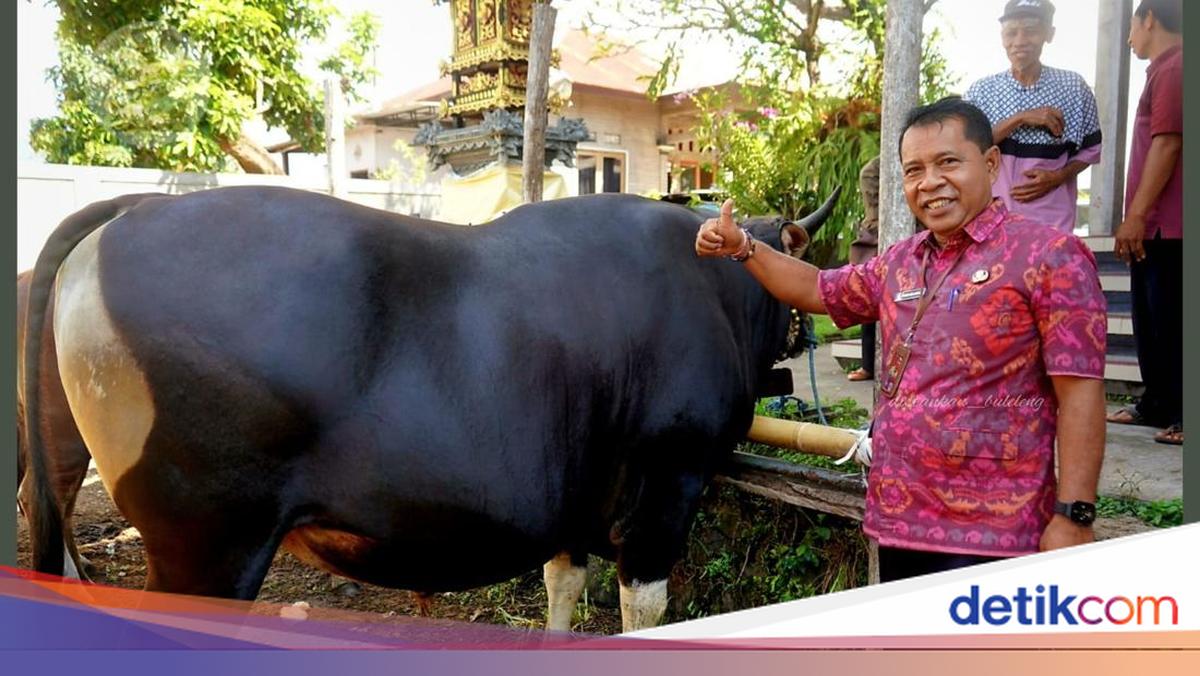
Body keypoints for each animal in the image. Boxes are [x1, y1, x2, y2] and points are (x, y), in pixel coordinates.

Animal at [23, 186, 835, 632]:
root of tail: (138, 206)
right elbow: (644, 609)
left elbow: (562, 587)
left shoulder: (574, 498)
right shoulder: (669, 487)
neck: (718, 292)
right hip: (207, 548)